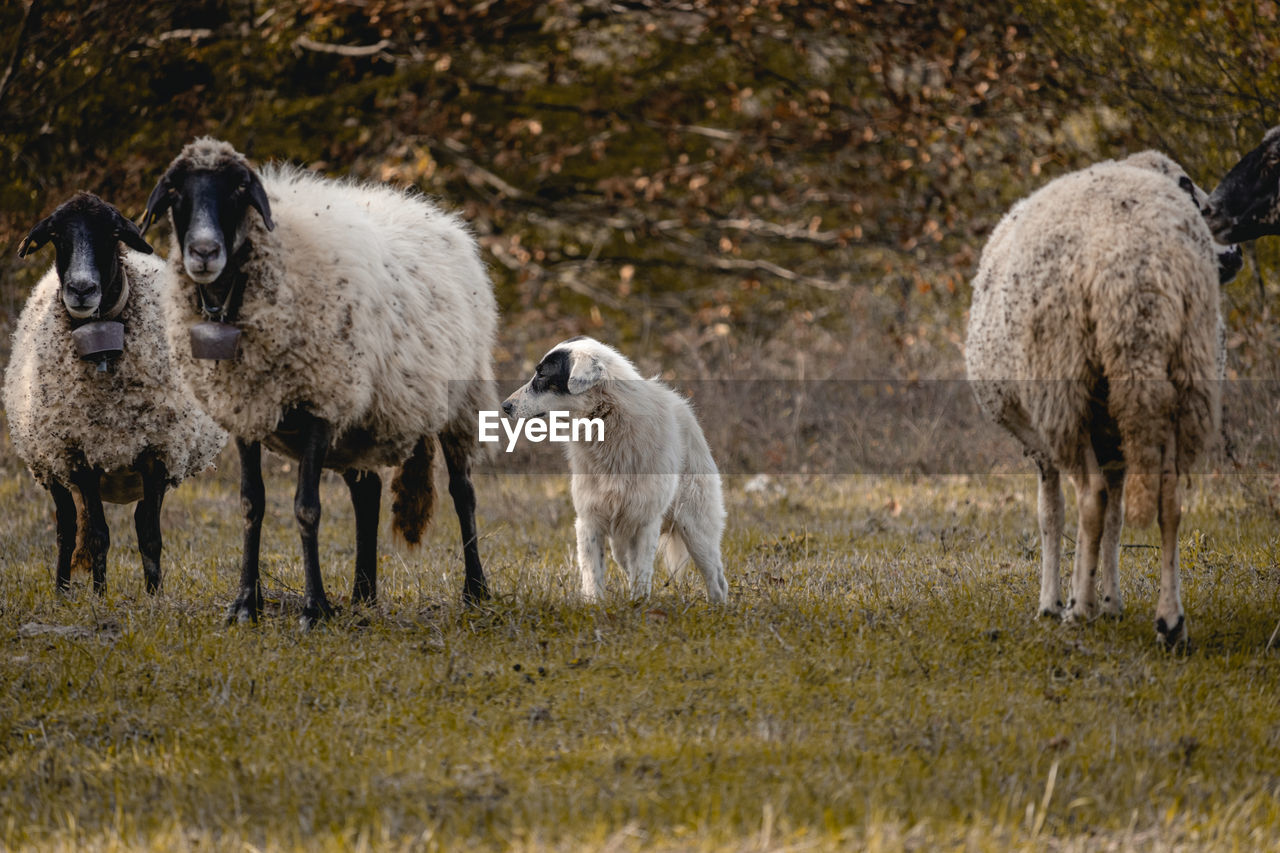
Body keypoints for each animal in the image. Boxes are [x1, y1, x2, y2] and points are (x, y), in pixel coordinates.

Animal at [3, 192, 227, 591]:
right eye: (56, 235)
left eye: (113, 233)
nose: (81, 290)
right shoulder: (79, 456)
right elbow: (97, 536)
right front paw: (99, 596)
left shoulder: (158, 453)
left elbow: (149, 535)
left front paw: (155, 596)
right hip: (49, 463)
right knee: (65, 527)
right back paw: (62, 592)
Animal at [142, 134, 496, 625]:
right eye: (175, 192)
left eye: (239, 190)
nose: (204, 252)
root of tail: (440, 216)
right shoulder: (245, 410)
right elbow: (251, 505)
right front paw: (245, 604)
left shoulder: (319, 403)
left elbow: (307, 508)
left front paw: (313, 607)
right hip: (362, 420)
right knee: (366, 494)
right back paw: (363, 593)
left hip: (461, 400)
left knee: (463, 492)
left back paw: (475, 590)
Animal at [501, 335, 732, 601]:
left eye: (542, 374)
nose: (505, 406)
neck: (607, 421)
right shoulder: (590, 521)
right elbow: (593, 577)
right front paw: (596, 605)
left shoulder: (645, 522)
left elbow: (641, 576)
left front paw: (639, 605)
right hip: (621, 540)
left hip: (696, 530)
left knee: (717, 580)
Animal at [967, 151, 1228, 645]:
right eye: (1189, 186)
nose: (1216, 210)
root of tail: (1135, 264)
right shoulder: (1114, 446)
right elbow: (1116, 519)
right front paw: (1111, 602)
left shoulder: (1044, 443)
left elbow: (1052, 515)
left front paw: (1056, 602)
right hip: (1181, 380)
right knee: (1168, 502)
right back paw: (1170, 622)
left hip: (1064, 386)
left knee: (1091, 498)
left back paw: (1080, 611)